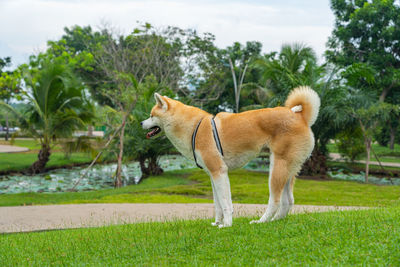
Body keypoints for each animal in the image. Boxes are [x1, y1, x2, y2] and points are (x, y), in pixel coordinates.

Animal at [142, 87, 320, 229]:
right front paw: (217, 223)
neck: (194, 128)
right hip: (287, 170)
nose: (141, 123)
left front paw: (226, 224)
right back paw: (274, 221)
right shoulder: (212, 175)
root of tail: (300, 117)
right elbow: (218, 204)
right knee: (288, 201)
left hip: (276, 170)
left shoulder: (219, 172)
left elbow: (226, 203)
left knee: (275, 201)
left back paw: (261, 221)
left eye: (151, 115)